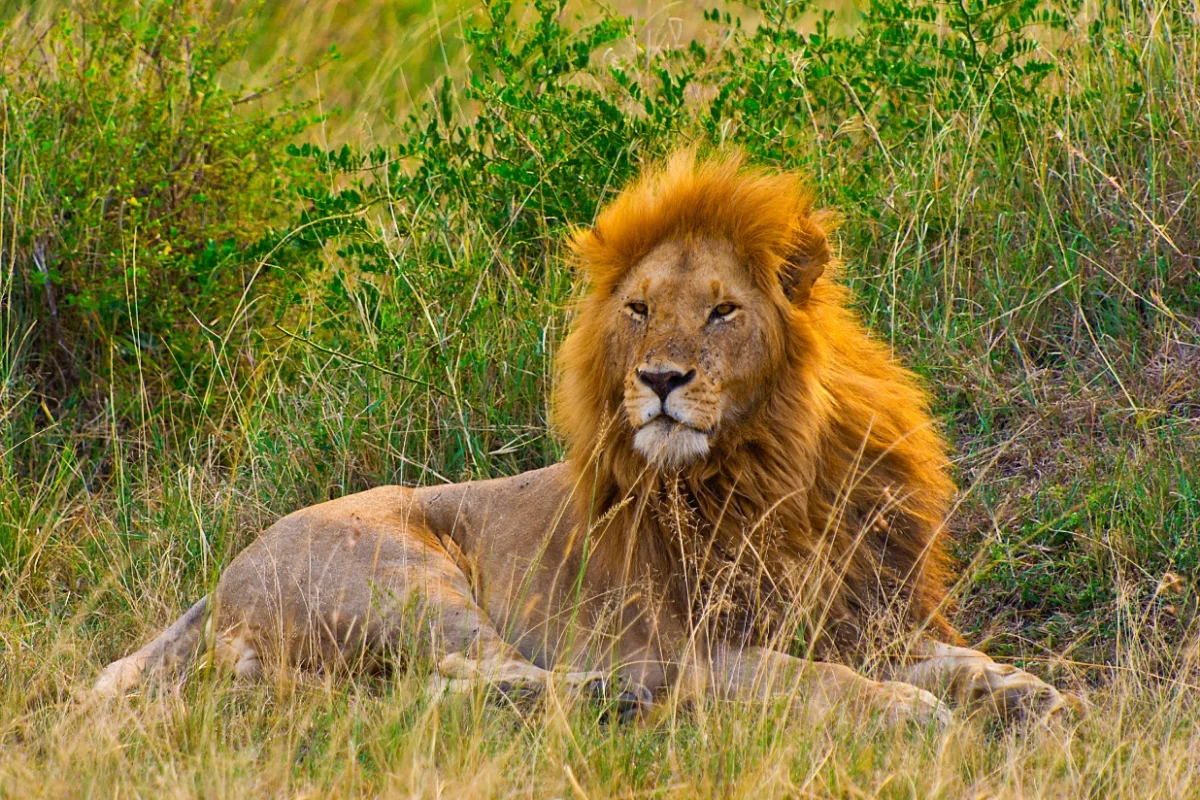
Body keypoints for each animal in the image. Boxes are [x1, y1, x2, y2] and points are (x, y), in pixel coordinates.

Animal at [92, 150, 1076, 726]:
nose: (660, 381)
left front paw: (1018, 689)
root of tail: (226, 570)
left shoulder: (858, 608)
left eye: (722, 310)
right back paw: (617, 695)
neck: (776, 468)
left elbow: (948, 656)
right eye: (638, 309)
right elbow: (814, 680)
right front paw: (908, 710)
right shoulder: (701, 644)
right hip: (402, 579)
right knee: (477, 673)